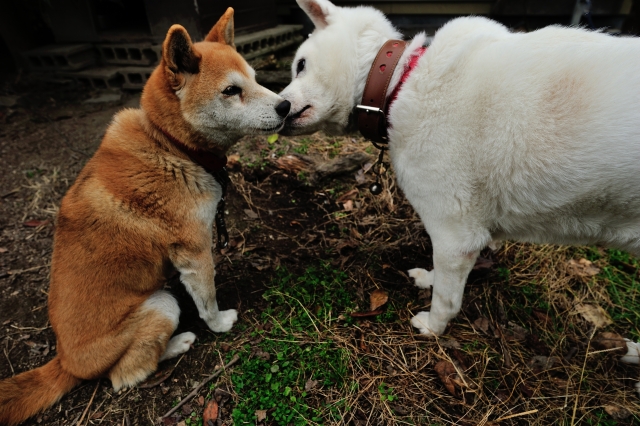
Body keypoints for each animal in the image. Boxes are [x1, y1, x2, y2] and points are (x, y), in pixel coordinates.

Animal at [0, 8, 290, 424]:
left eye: (254, 78)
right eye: (231, 90)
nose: (286, 106)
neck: (170, 146)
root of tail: (66, 361)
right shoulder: (194, 253)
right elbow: (207, 301)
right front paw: (219, 323)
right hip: (161, 304)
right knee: (126, 375)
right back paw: (179, 342)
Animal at [282, 0, 640, 336]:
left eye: (300, 65)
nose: (280, 106)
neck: (399, 83)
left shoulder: (455, 236)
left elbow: (446, 297)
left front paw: (433, 327)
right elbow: (439, 277)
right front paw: (428, 278)